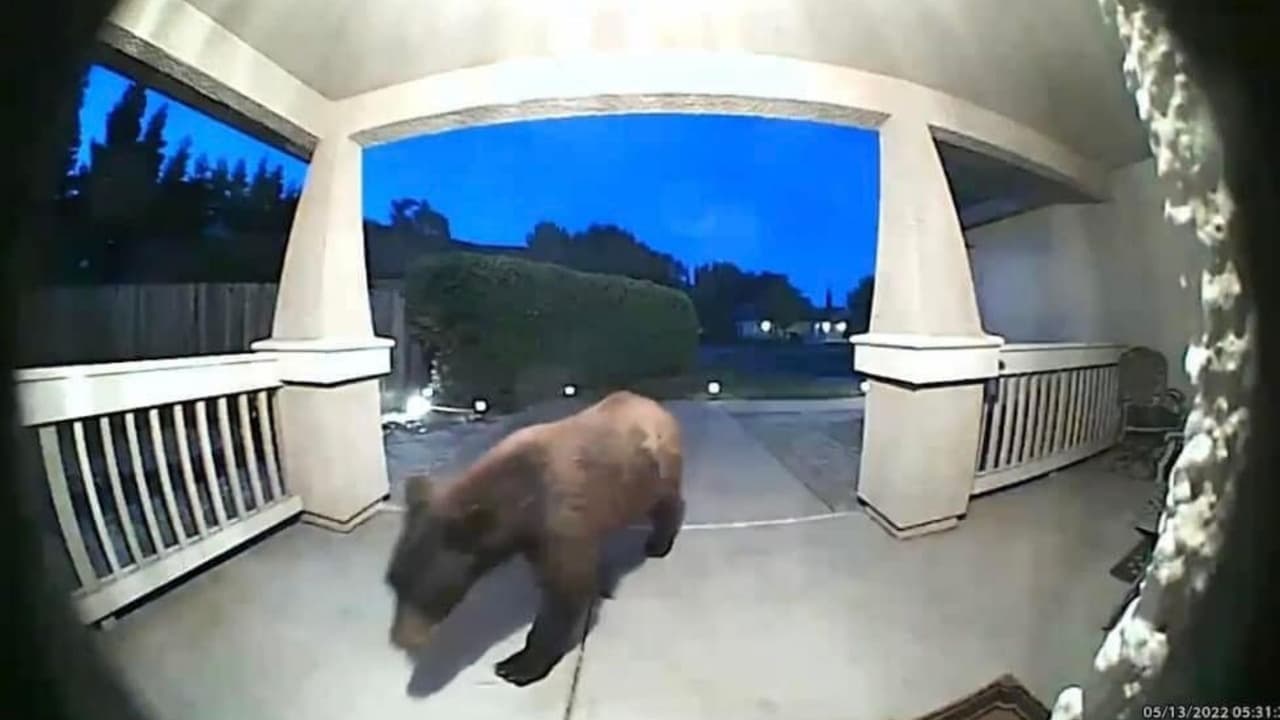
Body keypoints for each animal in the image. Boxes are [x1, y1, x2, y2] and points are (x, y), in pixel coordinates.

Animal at [385, 390, 685, 686]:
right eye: (394, 582)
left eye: (427, 590)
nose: (400, 641)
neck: (522, 501)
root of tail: (653, 403)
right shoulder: (536, 536)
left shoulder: (560, 520)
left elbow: (563, 592)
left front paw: (518, 664)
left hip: (655, 471)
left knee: (665, 502)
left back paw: (659, 541)